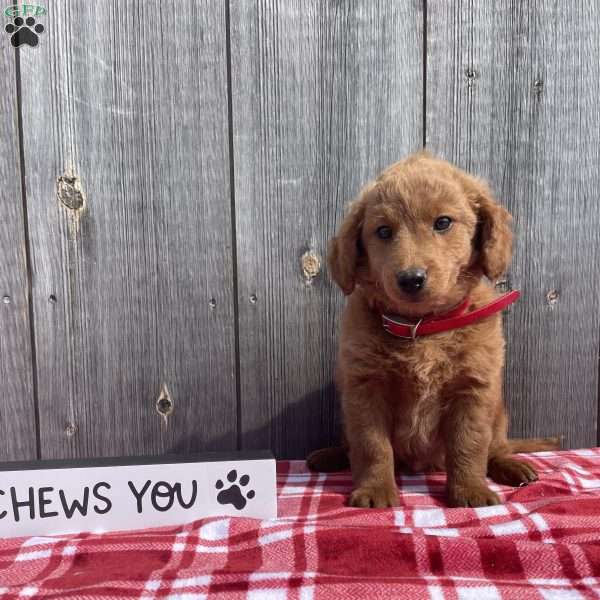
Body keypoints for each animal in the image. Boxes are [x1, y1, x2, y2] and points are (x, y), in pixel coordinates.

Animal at [308, 154, 560, 506]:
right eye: (383, 231)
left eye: (442, 223)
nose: (410, 279)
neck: (423, 326)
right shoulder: (365, 388)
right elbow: (372, 446)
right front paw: (375, 490)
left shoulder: (473, 390)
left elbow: (469, 445)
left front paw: (470, 490)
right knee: (349, 445)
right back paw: (328, 456)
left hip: (498, 413)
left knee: (495, 447)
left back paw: (511, 466)